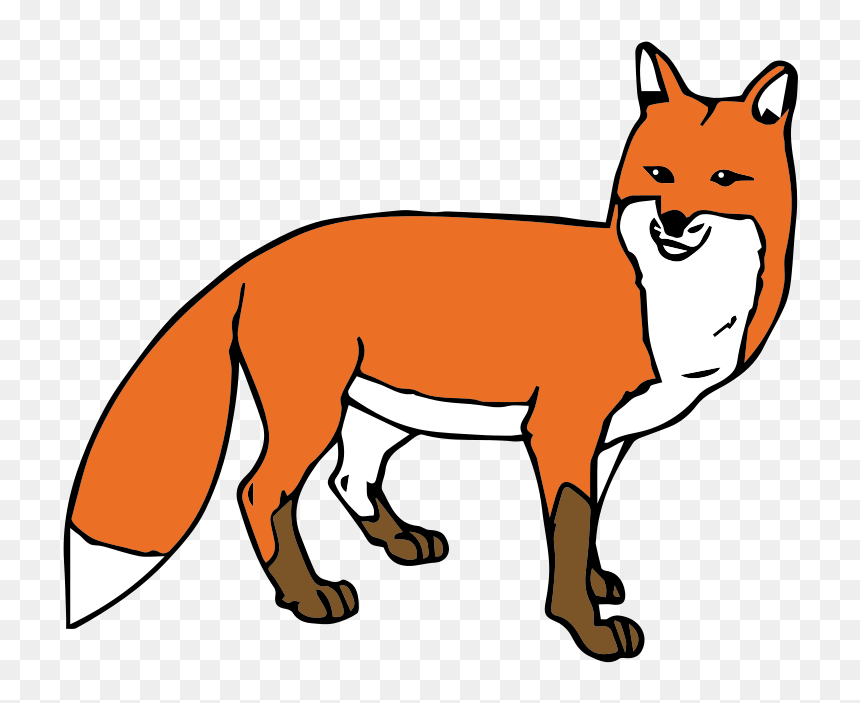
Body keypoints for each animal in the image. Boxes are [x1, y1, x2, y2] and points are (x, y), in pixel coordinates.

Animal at [64, 43, 797, 662]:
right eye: (659, 173)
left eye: (724, 178)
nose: (672, 220)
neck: (667, 304)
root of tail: (260, 257)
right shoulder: (561, 429)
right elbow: (567, 530)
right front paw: (583, 626)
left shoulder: (610, 439)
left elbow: (588, 525)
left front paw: (596, 583)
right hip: (313, 413)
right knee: (261, 491)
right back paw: (309, 596)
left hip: (382, 415)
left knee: (348, 477)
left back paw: (399, 540)